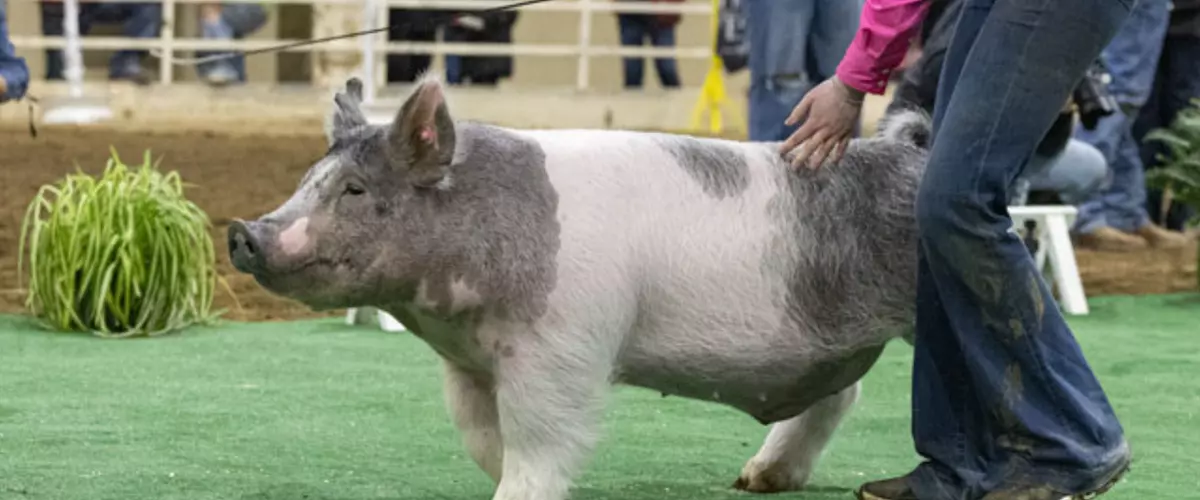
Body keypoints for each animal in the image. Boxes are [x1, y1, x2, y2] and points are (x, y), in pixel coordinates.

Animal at [227, 74, 930, 500]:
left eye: (354, 190)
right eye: (307, 180)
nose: (243, 231)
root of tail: (913, 154)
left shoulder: (560, 346)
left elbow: (539, 436)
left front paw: (519, 491)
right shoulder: (468, 362)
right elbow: (482, 436)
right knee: (839, 395)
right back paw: (756, 479)